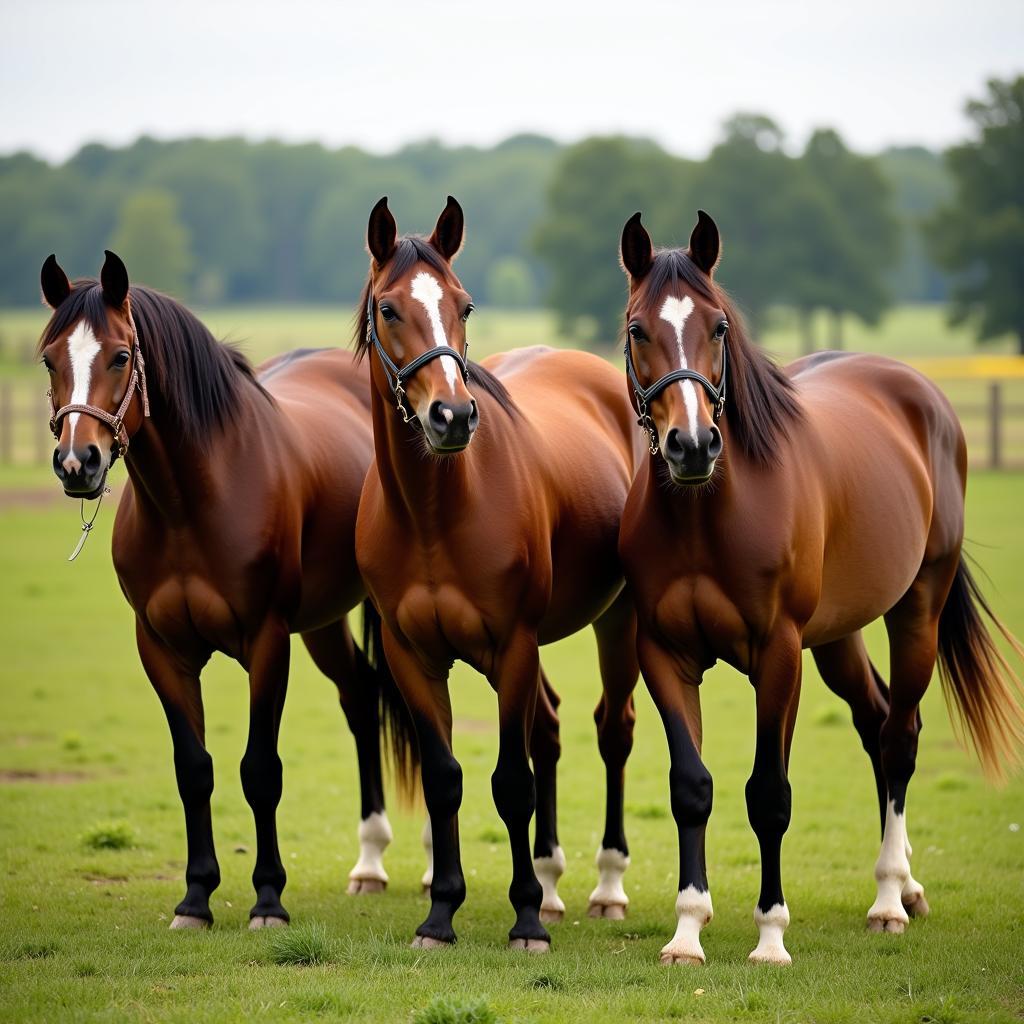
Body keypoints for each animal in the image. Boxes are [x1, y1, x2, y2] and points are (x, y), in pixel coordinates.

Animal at [37, 253, 417, 929]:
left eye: (119, 356)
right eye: (50, 359)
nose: (78, 462)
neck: (192, 502)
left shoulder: (267, 642)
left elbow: (259, 769)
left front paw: (268, 899)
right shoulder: (161, 649)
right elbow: (194, 770)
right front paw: (196, 898)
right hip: (322, 622)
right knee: (359, 695)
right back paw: (369, 862)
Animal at [352, 199, 638, 950]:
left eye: (465, 304)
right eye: (389, 308)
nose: (452, 415)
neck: (434, 514)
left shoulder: (512, 645)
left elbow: (511, 781)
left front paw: (527, 918)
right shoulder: (413, 656)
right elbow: (446, 778)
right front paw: (441, 912)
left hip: (617, 620)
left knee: (612, 730)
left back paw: (603, 889)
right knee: (551, 728)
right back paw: (554, 882)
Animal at [614, 209, 1024, 966]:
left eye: (718, 327)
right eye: (637, 329)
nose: (693, 445)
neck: (706, 514)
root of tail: (920, 394)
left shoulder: (778, 655)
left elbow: (769, 793)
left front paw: (771, 934)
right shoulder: (664, 654)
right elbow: (691, 787)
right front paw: (687, 930)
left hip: (915, 611)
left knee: (900, 734)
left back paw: (889, 899)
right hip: (838, 638)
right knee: (874, 721)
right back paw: (908, 886)